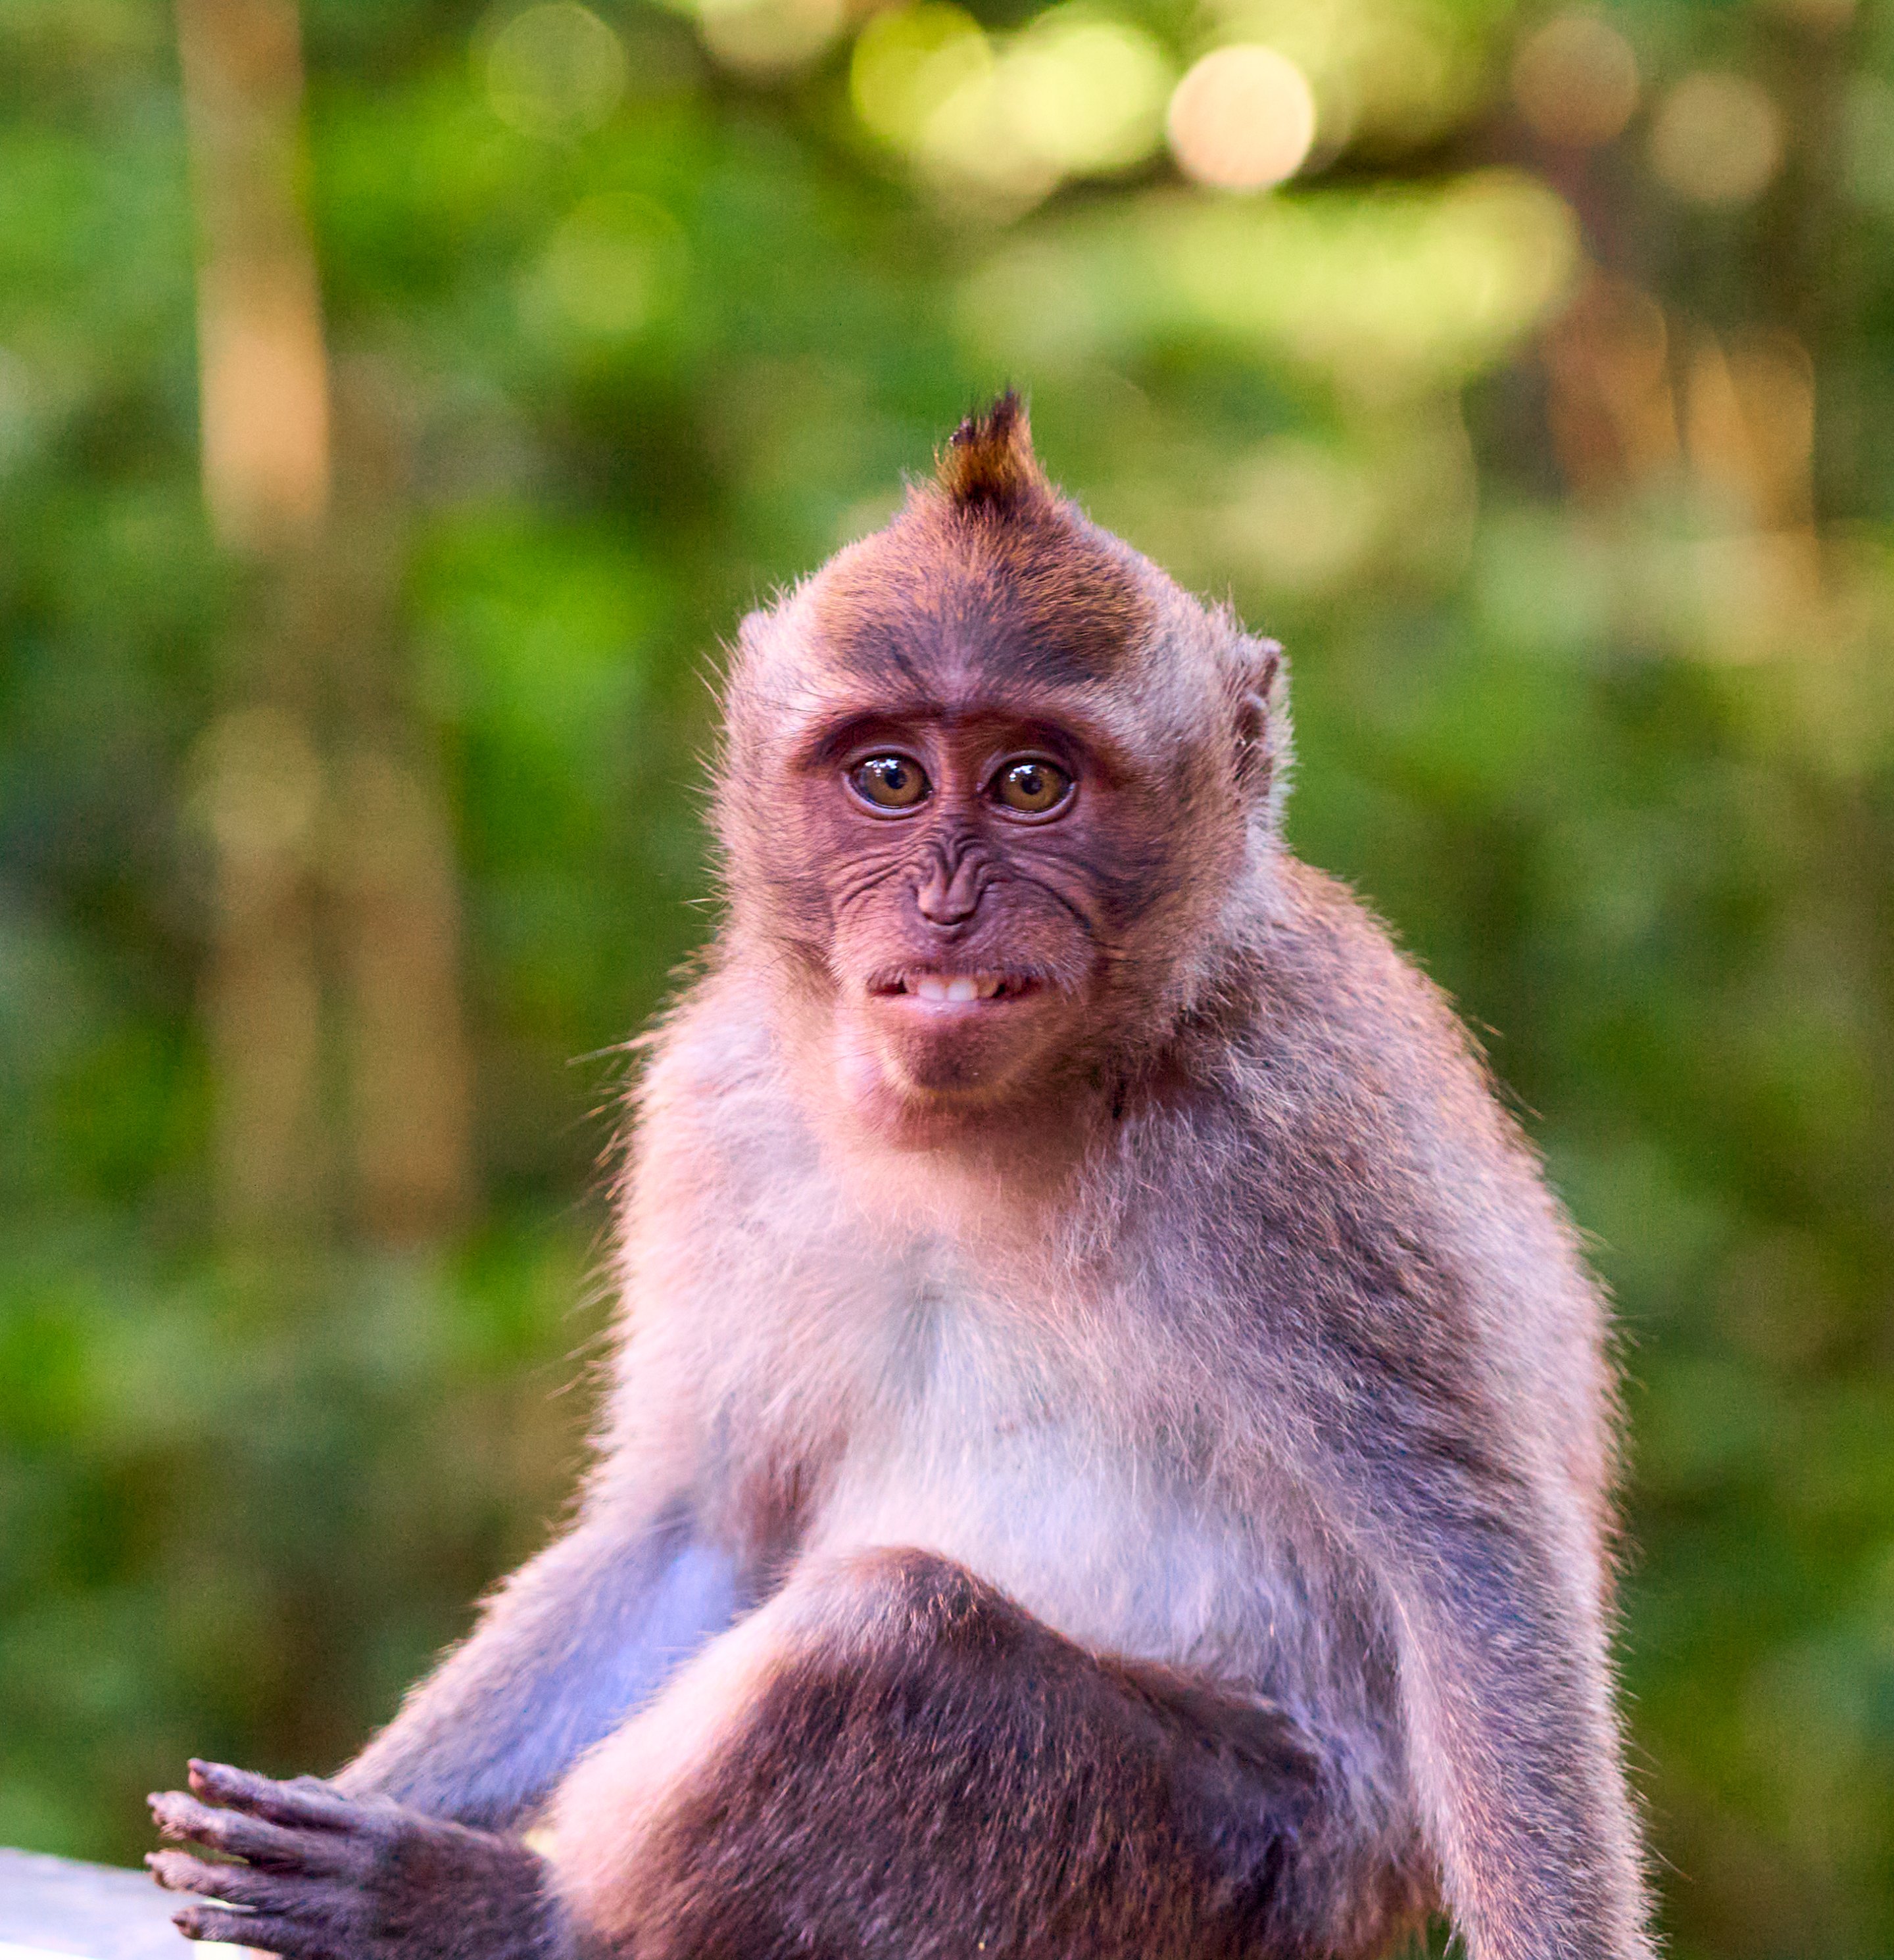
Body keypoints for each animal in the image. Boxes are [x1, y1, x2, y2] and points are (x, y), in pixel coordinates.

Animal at [150, 394, 1654, 1960]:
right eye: (890, 777)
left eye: (1032, 781)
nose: (946, 900)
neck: (974, 1129)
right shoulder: (717, 1107)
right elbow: (695, 1526)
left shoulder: (1297, 1133)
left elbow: (1471, 1575)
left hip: (1225, 1866)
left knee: (891, 1627)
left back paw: (513, 1914)